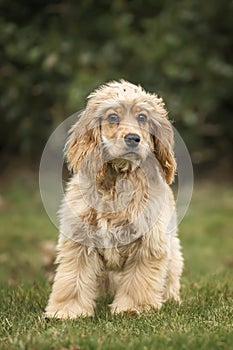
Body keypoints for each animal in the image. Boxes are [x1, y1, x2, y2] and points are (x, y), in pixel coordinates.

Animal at [45, 80, 184, 318]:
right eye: (112, 117)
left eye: (142, 117)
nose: (133, 139)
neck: (118, 178)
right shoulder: (79, 239)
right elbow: (72, 279)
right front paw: (67, 311)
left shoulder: (148, 242)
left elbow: (139, 280)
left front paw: (133, 308)